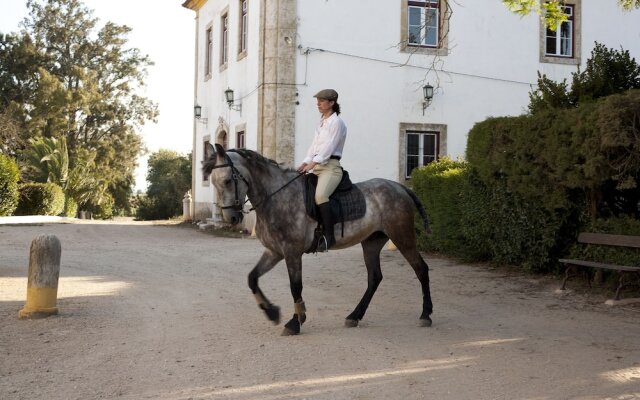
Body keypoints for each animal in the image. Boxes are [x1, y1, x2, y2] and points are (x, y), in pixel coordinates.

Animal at [204, 142, 436, 336]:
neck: (276, 197)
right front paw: (272, 313)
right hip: (371, 242)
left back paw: (426, 314)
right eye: (213, 182)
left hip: (402, 237)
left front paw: (295, 322)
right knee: (374, 278)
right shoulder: (274, 252)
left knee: (421, 269)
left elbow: (295, 287)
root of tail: (399, 187)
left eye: (227, 180)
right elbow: (252, 278)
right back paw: (354, 316)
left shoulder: (292, 252)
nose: (231, 218)